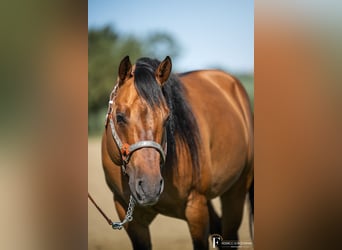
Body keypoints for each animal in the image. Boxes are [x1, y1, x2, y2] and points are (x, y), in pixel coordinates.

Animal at [100, 55, 252, 249]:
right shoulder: (129, 216)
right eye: (119, 117)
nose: (150, 187)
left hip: (236, 190)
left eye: (167, 118)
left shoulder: (196, 208)